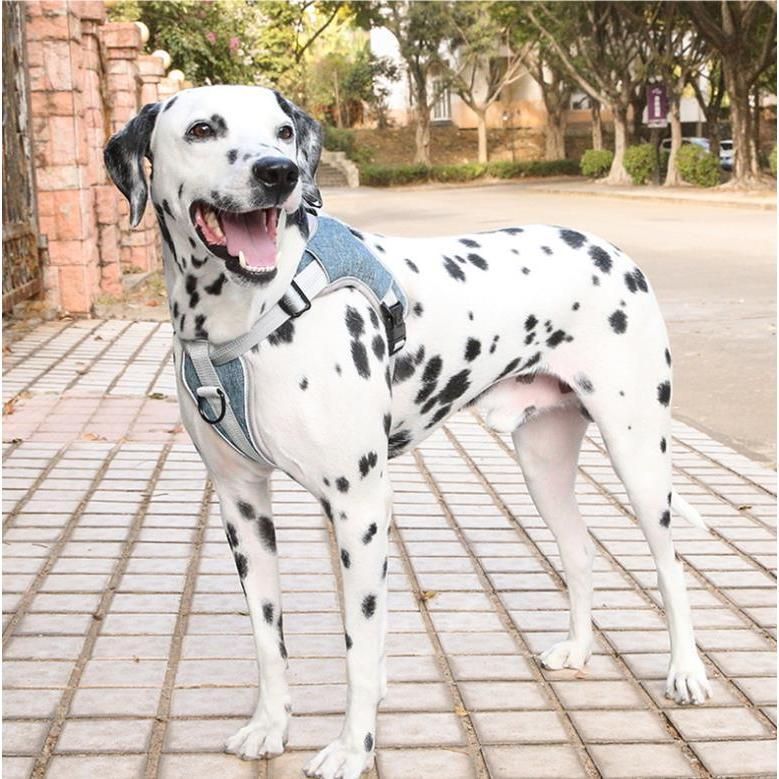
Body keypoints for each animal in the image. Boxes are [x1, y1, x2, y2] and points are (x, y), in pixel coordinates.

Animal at [105, 85, 712, 779]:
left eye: (282, 131)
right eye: (202, 129)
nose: (278, 174)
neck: (256, 312)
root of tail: (613, 252)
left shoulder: (360, 505)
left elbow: (360, 646)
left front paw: (353, 746)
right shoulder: (242, 506)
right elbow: (268, 635)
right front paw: (270, 726)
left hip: (639, 456)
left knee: (670, 567)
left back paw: (686, 672)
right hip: (543, 465)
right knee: (580, 553)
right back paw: (579, 649)